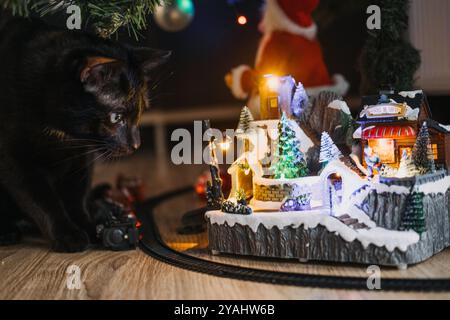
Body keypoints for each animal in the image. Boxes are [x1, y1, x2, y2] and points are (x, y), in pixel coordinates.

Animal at [0, 13, 171, 251]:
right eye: (116, 117)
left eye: (141, 111)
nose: (136, 144)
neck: (61, 133)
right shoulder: (14, 160)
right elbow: (42, 200)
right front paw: (67, 234)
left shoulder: (81, 158)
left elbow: (76, 197)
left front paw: (93, 227)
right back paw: (7, 232)